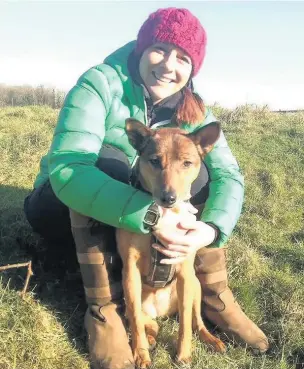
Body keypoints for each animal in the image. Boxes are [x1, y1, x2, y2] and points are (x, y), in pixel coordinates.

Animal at [116, 117, 226, 366]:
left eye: (187, 163)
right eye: (155, 161)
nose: (169, 198)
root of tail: (161, 312)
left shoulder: (185, 270)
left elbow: (185, 324)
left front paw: (183, 354)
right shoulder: (130, 272)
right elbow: (135, 322)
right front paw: (140, 354)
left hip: (195, 286)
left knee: (196, 322)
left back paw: (211, 339)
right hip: (132, 300)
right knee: (146, 324)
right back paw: (149, 340)